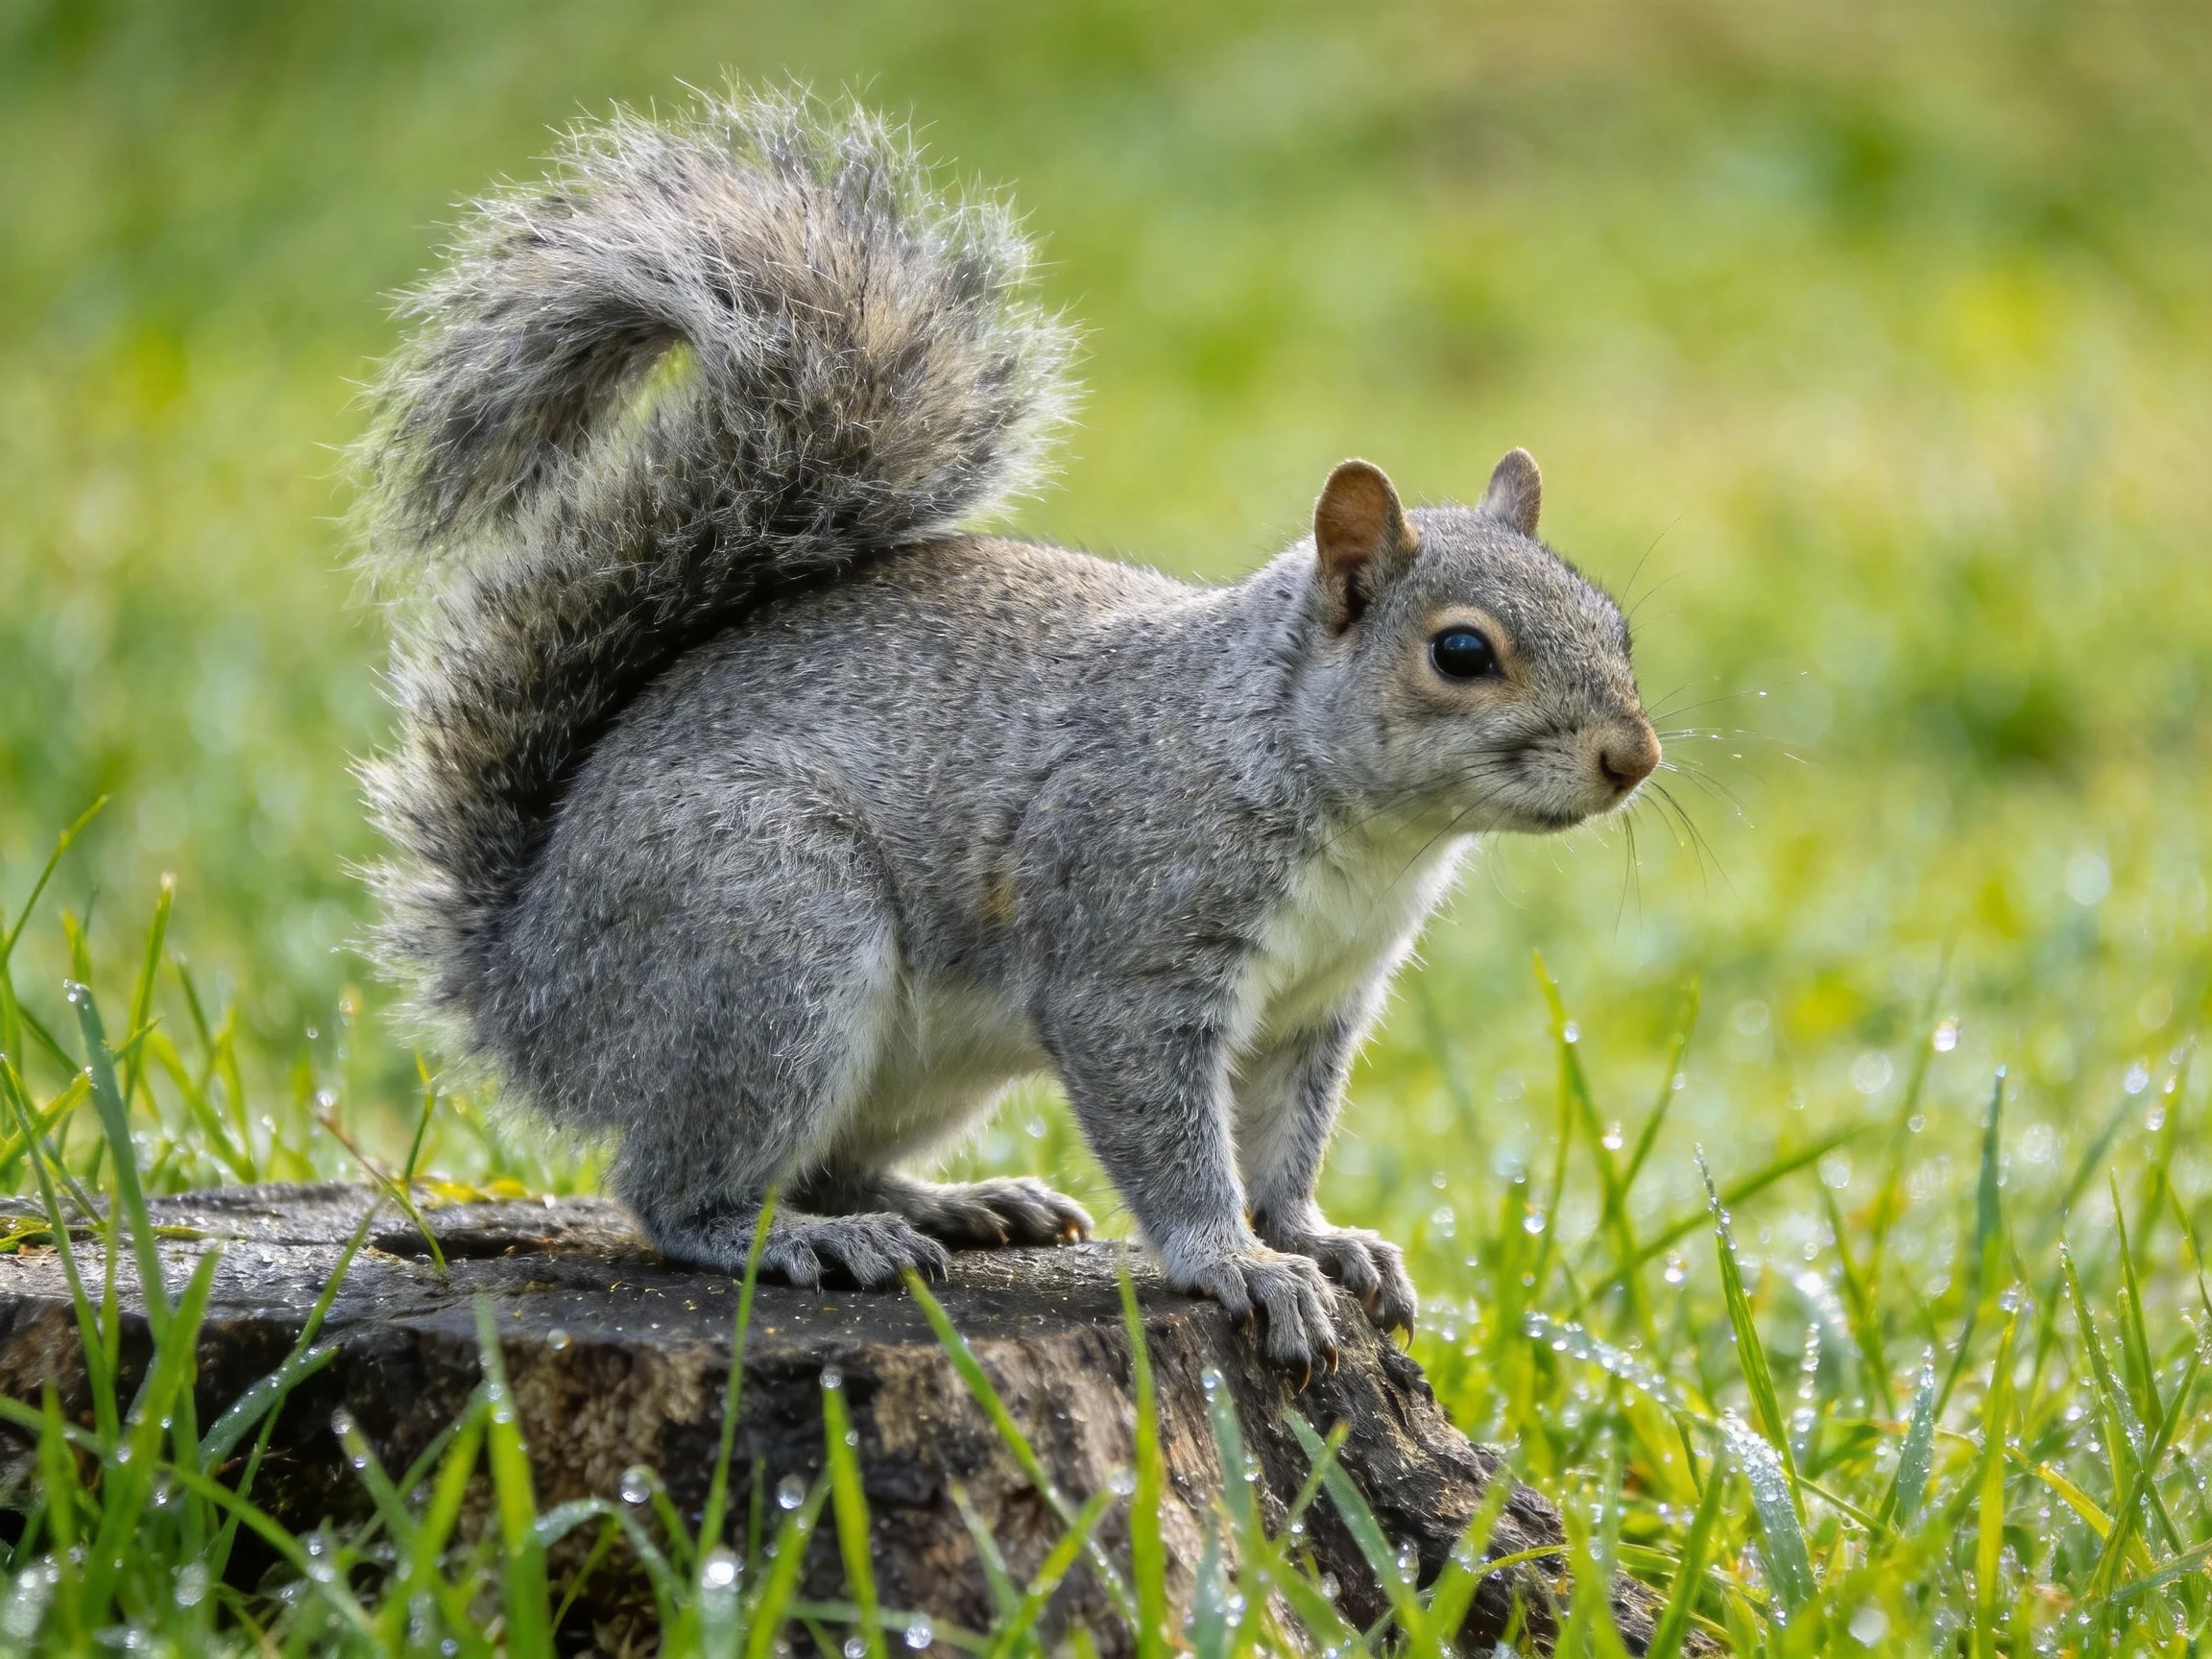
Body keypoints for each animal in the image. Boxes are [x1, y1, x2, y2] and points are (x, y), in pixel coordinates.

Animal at [355, 88, 1659, 1370]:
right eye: (1461, 654)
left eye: (1618, 626)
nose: (1632, 759)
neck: (1330, 795)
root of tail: (524, 981)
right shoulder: (1133, 958)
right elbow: (1169, 1134)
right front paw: (1234, 1262)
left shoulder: (1316, 1008)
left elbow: (1285, 1144)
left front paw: (1314, 1238)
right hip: (767, 939)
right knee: (678, 1188)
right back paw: (803, 1240)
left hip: (909, 1053)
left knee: (828, 1164)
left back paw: (958, 1205)